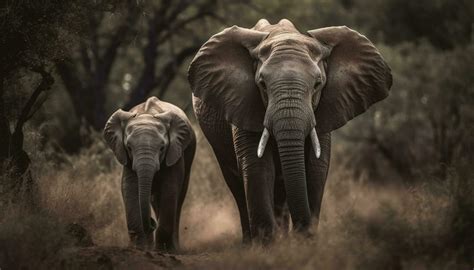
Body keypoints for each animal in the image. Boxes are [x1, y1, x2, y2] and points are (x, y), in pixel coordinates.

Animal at [103, 95, 195, 251]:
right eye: (129, 147)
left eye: (162, 148)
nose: (152, 223)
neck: (146, 113)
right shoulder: (127, 158)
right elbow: (129, 187)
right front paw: (139, 247)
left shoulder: (175, 152)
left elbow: (170, 188)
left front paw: (162, 250)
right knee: (154, 200)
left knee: (178, 198)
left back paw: (173, 248)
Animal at [189, 20, 392, 242]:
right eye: (262, 85)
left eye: (317, 84)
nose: (304, 232)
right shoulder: (243, 103)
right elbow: (258, 166)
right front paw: (267, 244)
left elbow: (315, 167)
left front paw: (302, 243)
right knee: (237, 185)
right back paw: (252, 241)